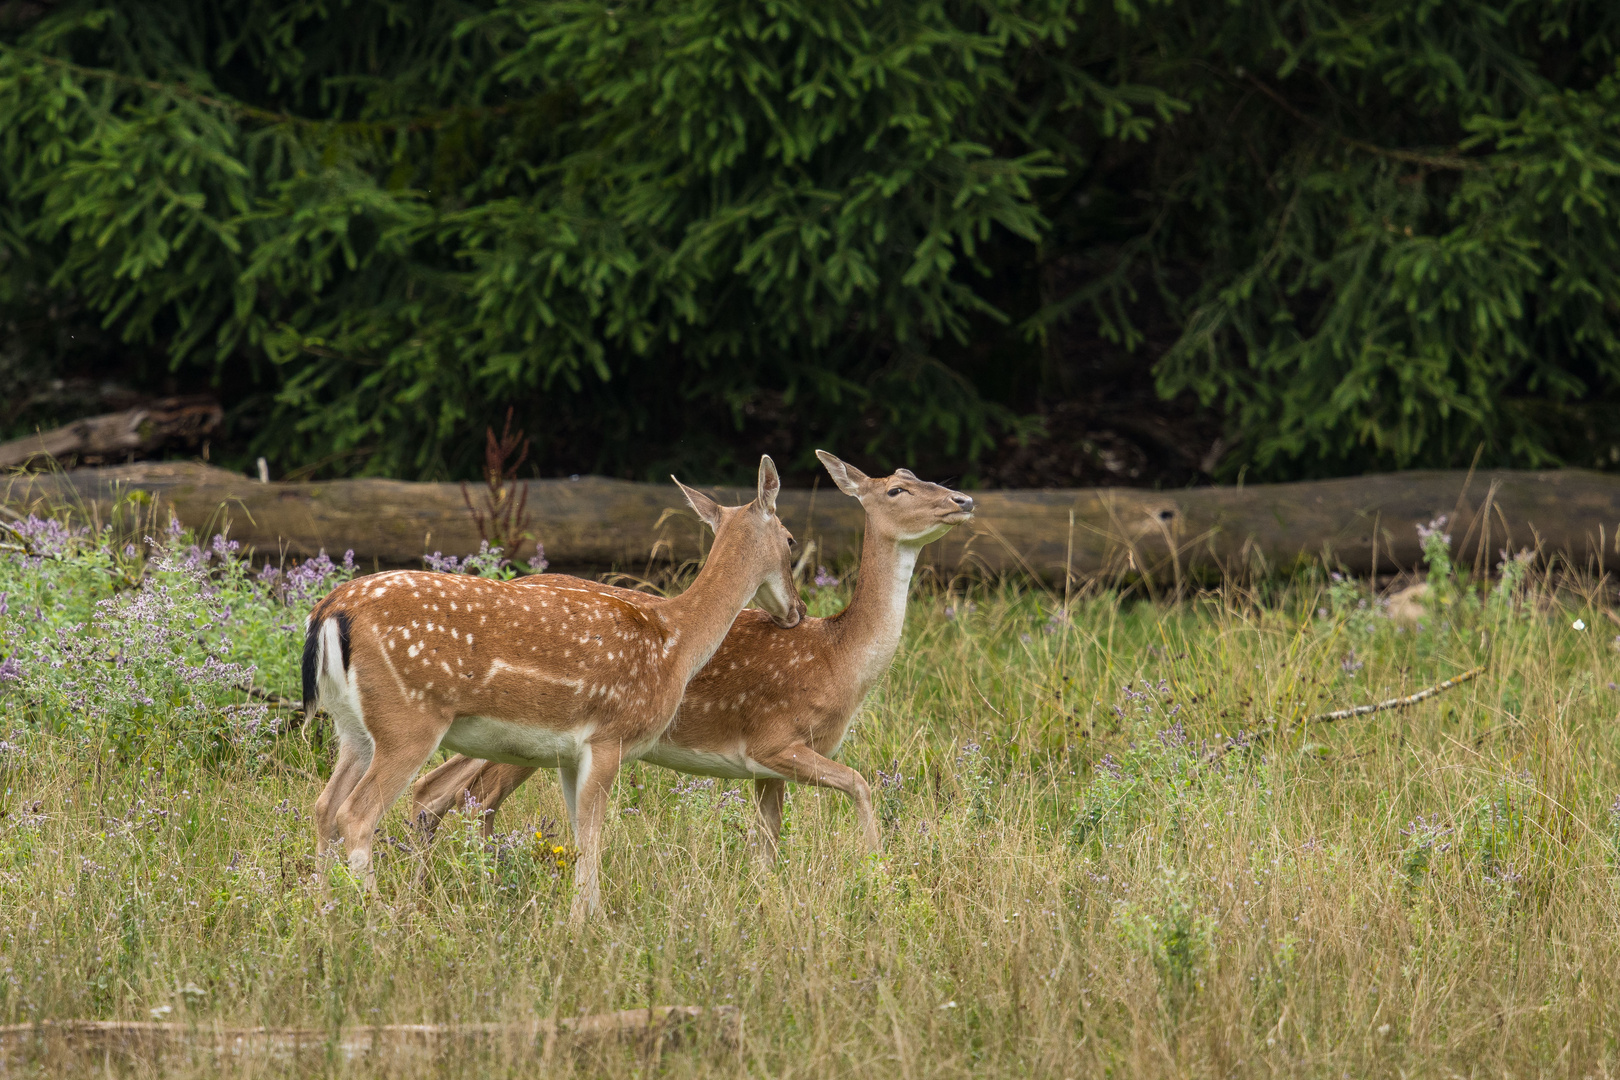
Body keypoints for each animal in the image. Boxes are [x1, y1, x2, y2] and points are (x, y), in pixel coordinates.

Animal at [301, 456, 800, 919]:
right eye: (792, 540)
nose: (797, 610)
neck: (674, 641)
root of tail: (330, 610)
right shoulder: (609, 736)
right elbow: (593, 838)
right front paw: (583, 925)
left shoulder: (570, 753)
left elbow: (580, 836)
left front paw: (588, 919)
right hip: (408, 720)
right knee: (356, 813)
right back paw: (378, 918)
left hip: (354, 727)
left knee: (325, 806)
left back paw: (326, 910)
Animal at [411, 453, 978, 867]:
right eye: (896, 489)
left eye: (916, 474)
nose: (964, 498)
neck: (839, 658)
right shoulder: (775, 738)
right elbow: (859, 784)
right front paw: (878, 868)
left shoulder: (766, 769)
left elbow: (767, 850)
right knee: (470, 794)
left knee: (444, 789)